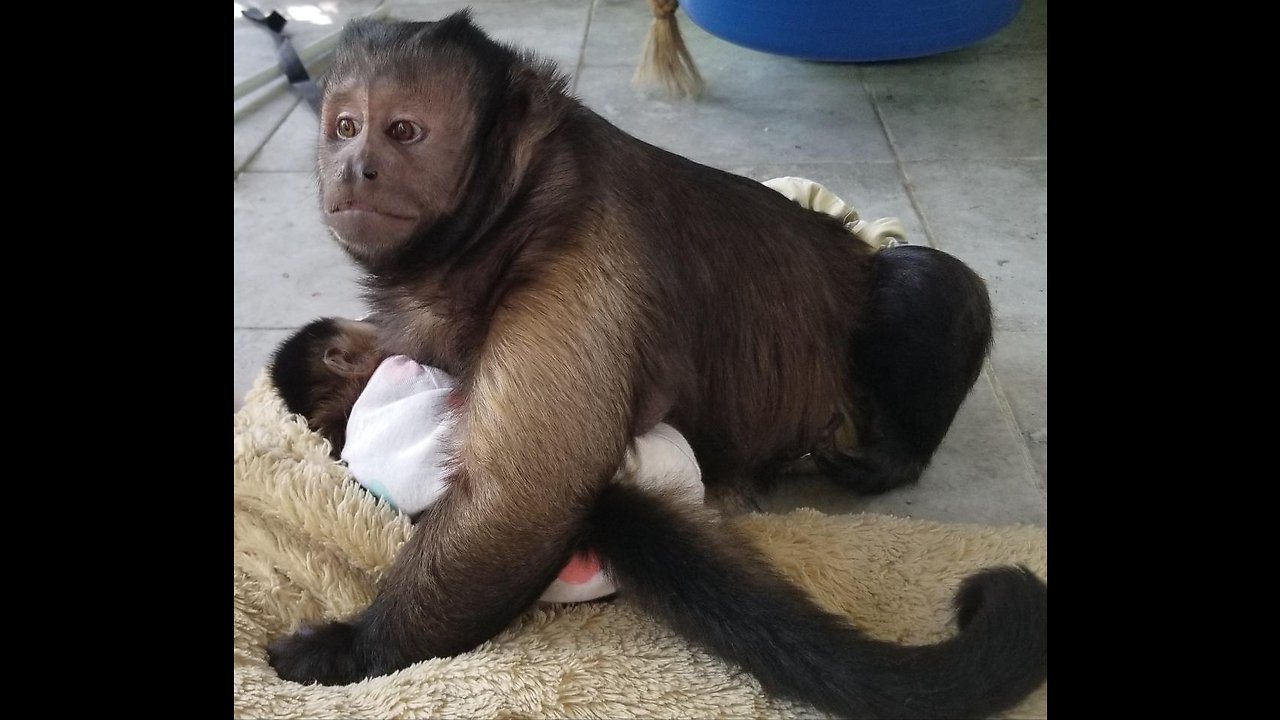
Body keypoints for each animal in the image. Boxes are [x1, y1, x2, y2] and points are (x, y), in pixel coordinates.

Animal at [264, 12, 1044, 717]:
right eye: (345, 127)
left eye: (401, 131)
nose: (355, 167)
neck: (500, 222)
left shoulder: (576, 256)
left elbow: (522, 496)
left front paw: (347, 651)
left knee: (921, 282)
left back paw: (890, 454)